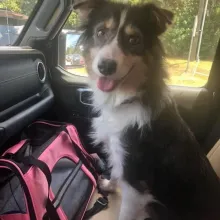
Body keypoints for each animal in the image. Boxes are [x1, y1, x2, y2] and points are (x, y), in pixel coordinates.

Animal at [73, 0, 220, 219]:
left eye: (134, 39)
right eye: (101, 32)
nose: (105, 66)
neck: (127, 99)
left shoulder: (136, 184)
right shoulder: (119, 154)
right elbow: (115, 172)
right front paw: (109, 185)